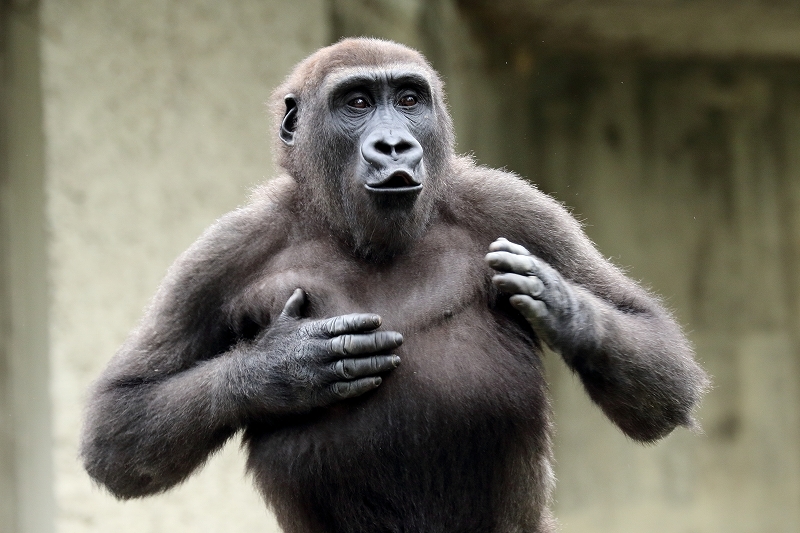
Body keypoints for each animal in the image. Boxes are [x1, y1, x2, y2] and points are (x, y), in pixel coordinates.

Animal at [81, 38, 708, 532]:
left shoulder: (519, 209)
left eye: (408, 100)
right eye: (357, 103)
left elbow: (660, 365)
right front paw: (279, 367)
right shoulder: (222, 252)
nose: (394, 146)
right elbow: (120, 426)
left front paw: (561, 302)